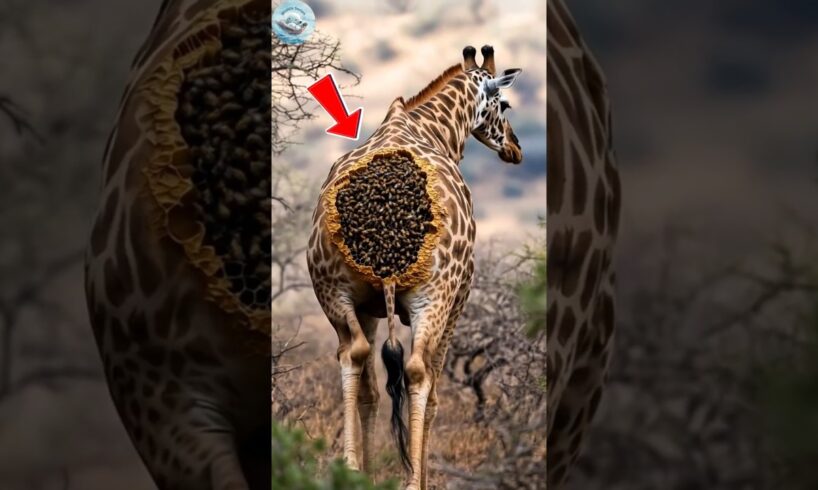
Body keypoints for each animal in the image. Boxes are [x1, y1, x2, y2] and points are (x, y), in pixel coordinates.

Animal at [306, 45, 523, 489]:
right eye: (505, 104)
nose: (515, 148)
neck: (433, 127)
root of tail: (387, 240)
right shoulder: (461, 295)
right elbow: (434, 390)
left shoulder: (367, 307)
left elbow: (370, 390)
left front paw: (368, 472)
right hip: (435, 295)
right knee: (418, 371)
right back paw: (409, 481)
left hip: (334, 289)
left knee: (353, 355)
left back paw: (350, 468)